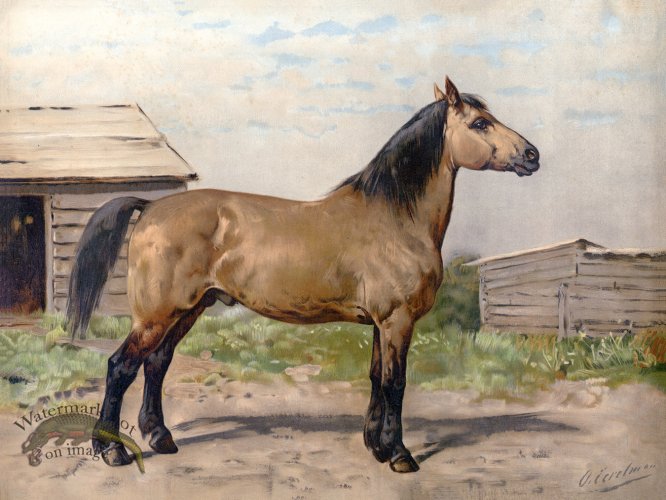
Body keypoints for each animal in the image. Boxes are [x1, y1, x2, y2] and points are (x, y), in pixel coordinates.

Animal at [66, 77, 539, 473]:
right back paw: (111, 450)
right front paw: (400, 455)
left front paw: (376, 446)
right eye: (480, 123)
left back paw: (161, 438)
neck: (394, 218)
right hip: (156, 315)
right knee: (121, 367)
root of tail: (151, 207)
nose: (532, 155)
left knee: (157, 364)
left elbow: (375, 378)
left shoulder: (380, 323)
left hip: (188, 310)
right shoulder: (397, 321)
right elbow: (396, 383)